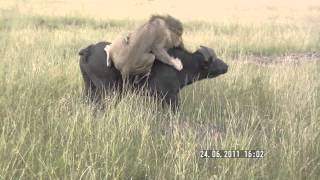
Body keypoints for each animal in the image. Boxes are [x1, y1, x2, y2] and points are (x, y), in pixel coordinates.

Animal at [78, 41, 228, 110]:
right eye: (214, 60)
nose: (226, 66)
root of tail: (89, 49)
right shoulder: (171, 96)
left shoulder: (160, 98)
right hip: (107, 90)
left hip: (89, 87)